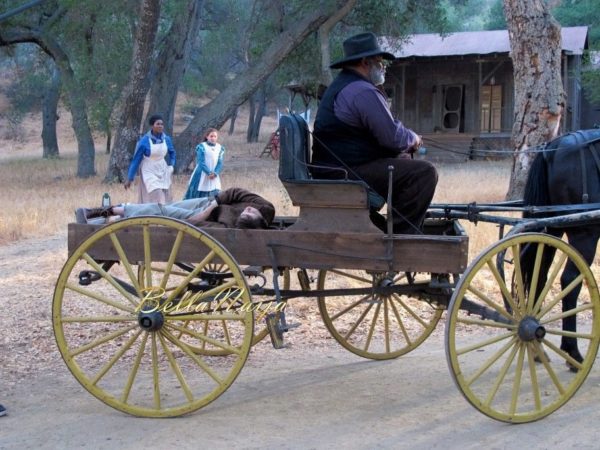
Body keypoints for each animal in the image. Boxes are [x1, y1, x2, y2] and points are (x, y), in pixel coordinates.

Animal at [520, 128, 600, 368]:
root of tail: (552, 147)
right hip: (585, 234)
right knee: (570, 281)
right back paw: (572, 351)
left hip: (551, 229)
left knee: (539, 277)